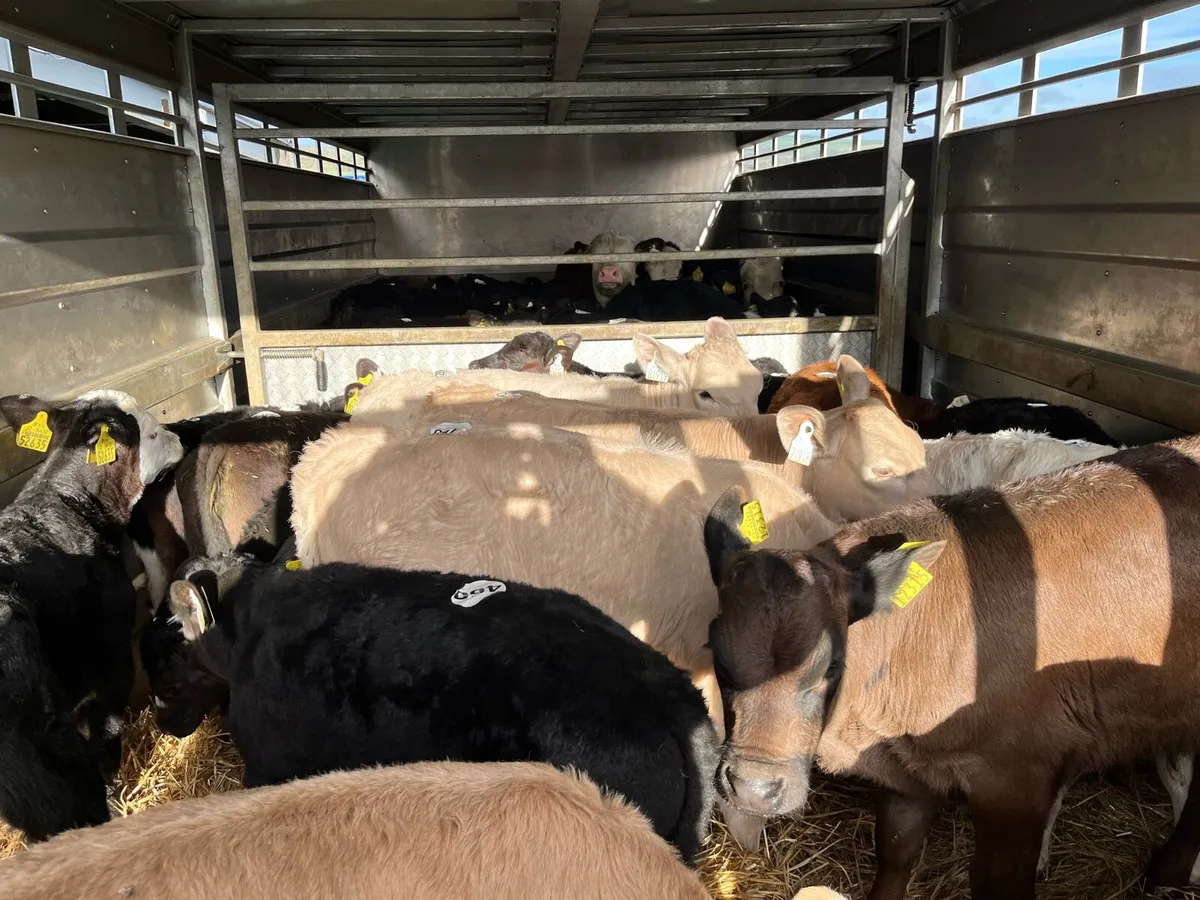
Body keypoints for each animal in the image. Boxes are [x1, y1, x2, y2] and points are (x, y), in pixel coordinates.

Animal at [702, 435, 1200, 898]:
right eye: (718, 656)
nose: (754, 788)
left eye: (832, 665)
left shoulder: (1019, 782)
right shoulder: (906, 774)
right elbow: (896, 850)